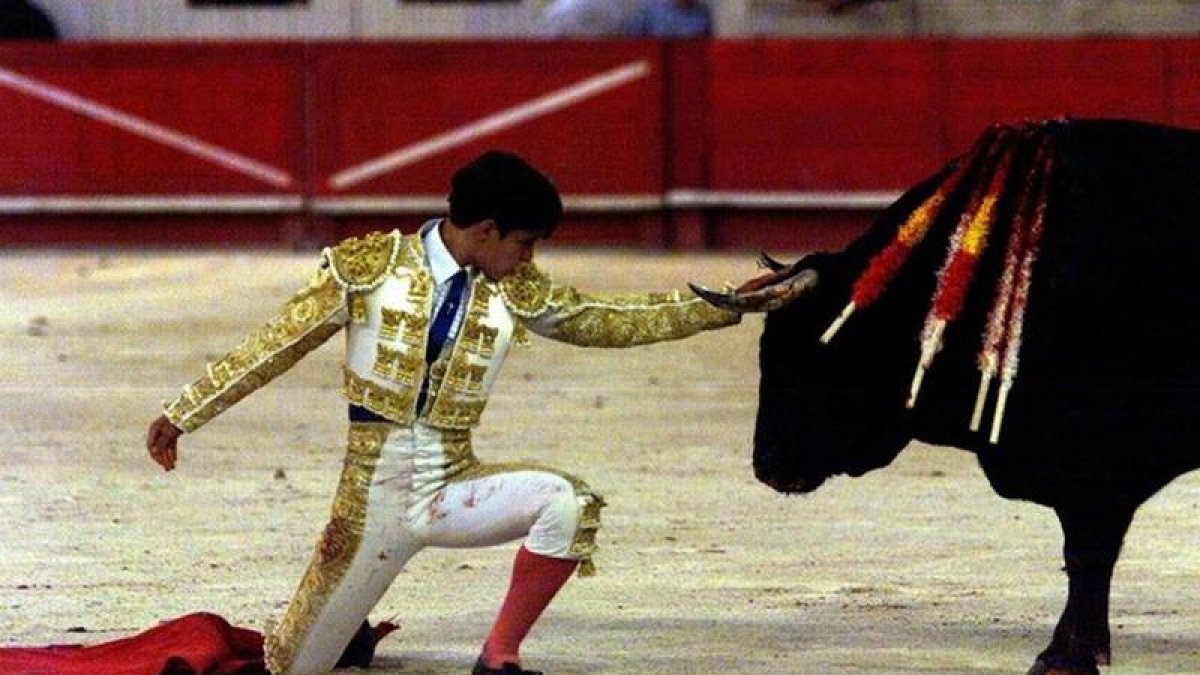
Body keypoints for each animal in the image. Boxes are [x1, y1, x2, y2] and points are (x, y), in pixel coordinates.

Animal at [700, 118, 1200, 667]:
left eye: (795, 358)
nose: (766, 467)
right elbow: (1084, 554)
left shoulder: (1095, 463)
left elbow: (1088, 553)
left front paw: (1065, 655)